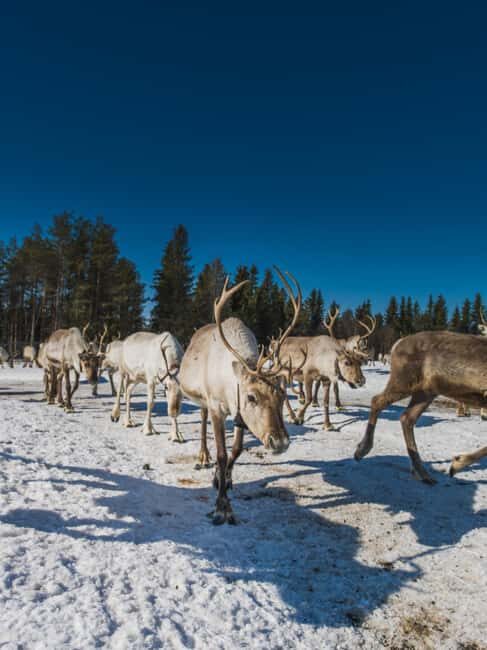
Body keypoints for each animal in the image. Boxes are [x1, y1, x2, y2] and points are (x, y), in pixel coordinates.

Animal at [179, 268, 301, 525]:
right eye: (251, 397)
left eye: (282, 396)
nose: (280, 443)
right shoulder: (216, 406)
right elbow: (222, 453)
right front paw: (222, 508)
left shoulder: (239, 415)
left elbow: (235, 451)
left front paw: (223, 480)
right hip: (201, 399)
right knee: (203, 423)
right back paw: (203, 457)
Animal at [354, 330, 487, 483]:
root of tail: (396, 344)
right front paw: (457, 464)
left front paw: (457, 464)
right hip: (405, 381)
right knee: (377, 401)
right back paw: (361, 450)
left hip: (426, 391)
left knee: (407, 417)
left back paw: (423, 473)